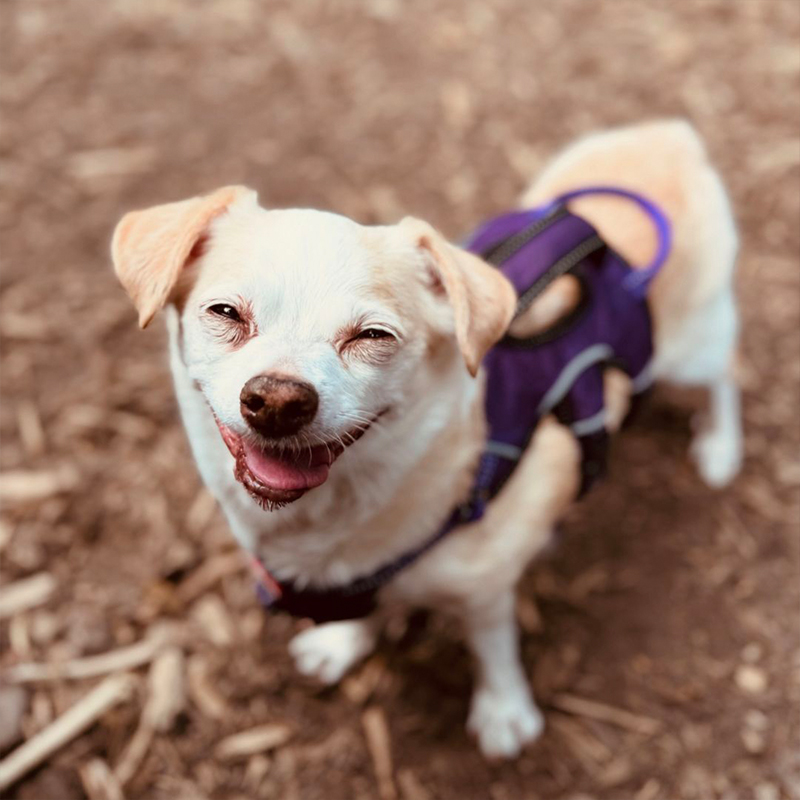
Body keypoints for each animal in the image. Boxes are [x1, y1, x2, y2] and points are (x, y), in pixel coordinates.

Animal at [109, 120, 740, 756]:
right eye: (225, 312)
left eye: (372, 336)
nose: (279, 400)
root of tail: (664, 138)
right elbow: (362, 607)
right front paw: (342, 642)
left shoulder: (486, 588)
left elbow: (492, 644)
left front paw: (503, 709)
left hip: (691, 348)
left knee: (725, 377)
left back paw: (720, 446)